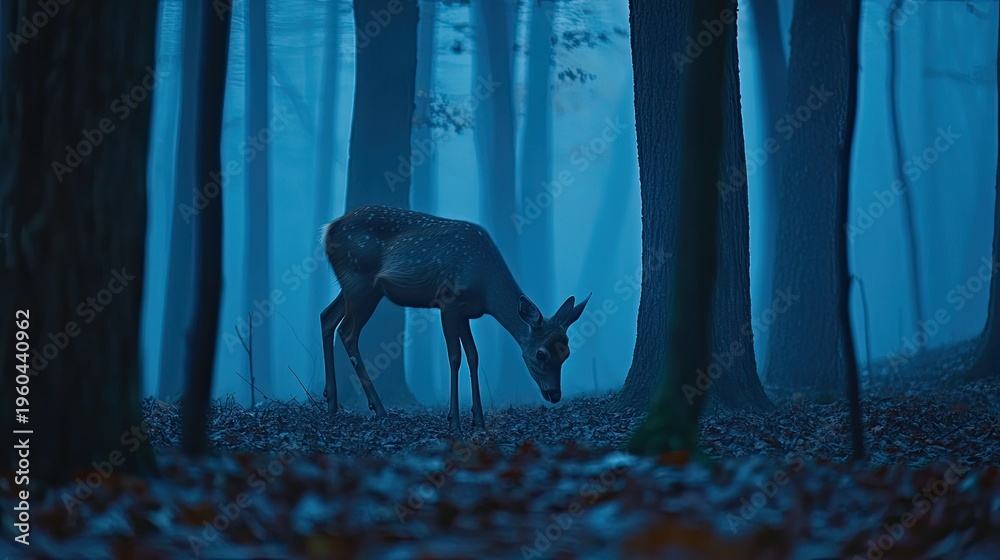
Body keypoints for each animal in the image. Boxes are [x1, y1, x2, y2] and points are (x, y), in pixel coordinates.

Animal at [320, 205, 590, 431]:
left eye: (566, 354)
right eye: (541, 354)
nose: (554, 394)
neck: (485, 288)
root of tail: (327, 230)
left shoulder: (466, 312)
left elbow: (473, 356)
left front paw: (478, 420)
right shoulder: (448, 302)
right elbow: (455, 357)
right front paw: (454, 422)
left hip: (357, 287)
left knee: (326, 317)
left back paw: (332, 404)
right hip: (360, 280)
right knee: (347, 332)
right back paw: (379, 410)